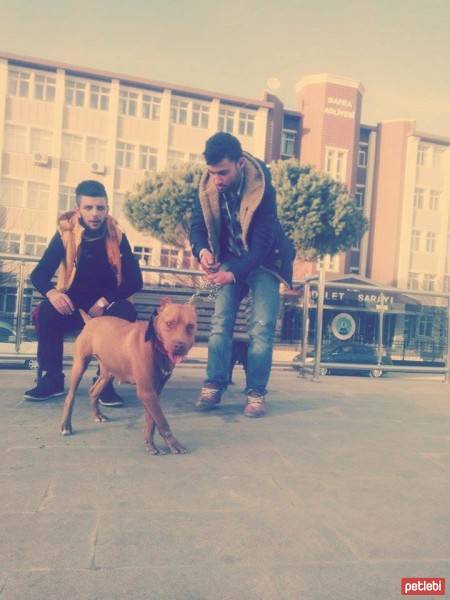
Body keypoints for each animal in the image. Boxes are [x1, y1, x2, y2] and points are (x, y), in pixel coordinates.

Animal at [60, 300, 197, 454]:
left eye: (190, 326)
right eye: (169, 323)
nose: (179, 345)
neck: (155, 346)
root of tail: (91, 321)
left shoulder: (153, 392)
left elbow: (151, 420)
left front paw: (149, 443)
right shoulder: (146, 392)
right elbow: (161, 420)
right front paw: (173, 443)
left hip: (108, 373)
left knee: (93, 391)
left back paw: (97, 415)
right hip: (79, 366)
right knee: (70, 397)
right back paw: (66, 426)